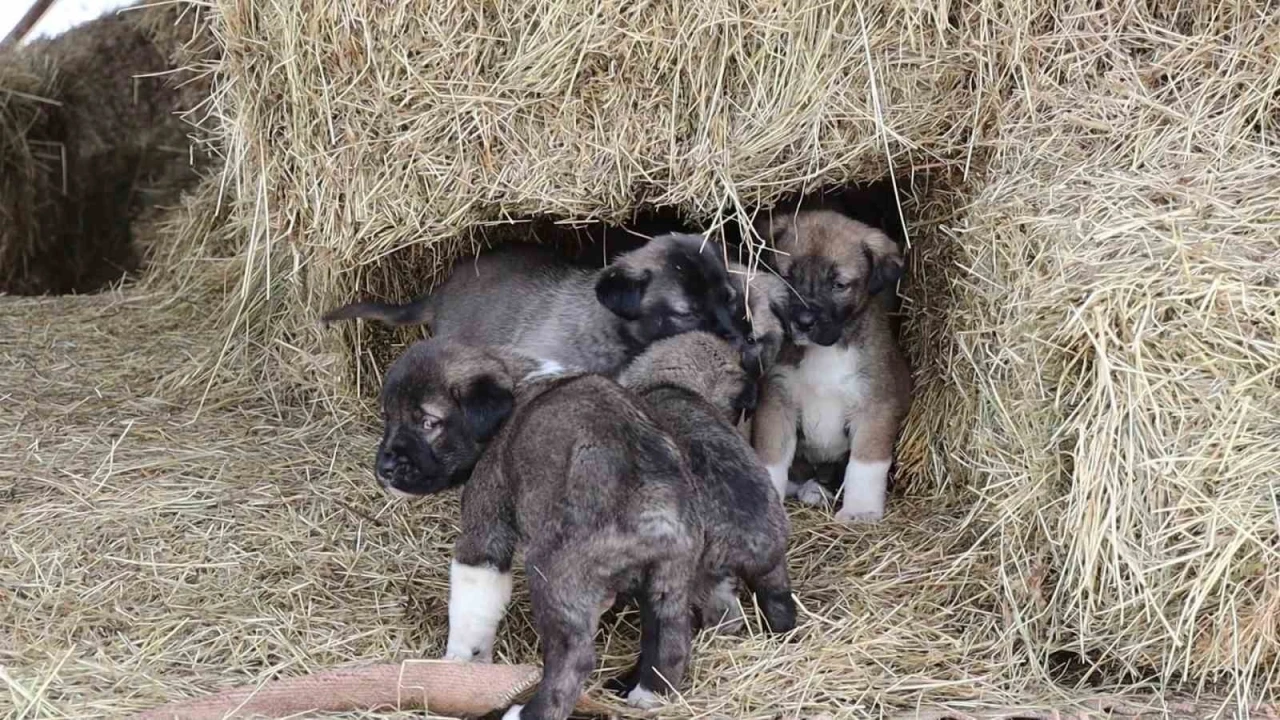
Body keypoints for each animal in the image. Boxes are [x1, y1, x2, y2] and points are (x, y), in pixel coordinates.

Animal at [368, 335, 788, 717]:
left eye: (428, 422)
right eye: (388, 418)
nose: (385, 468)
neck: (516, 385)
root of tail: (656, 513)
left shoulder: (485, 522)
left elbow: (472, 607)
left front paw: (460, 665)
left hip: (554, 573)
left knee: (574, 658)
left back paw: (528, 712)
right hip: (670, 579)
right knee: (670, 641)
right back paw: (648, 694)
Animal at [747, 208, 911, 520]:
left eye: (839, 285)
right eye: (787, 277)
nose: (803, 322)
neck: (824, 352)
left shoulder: (876, 406)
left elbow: (865, 465)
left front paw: (860, 511)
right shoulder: (777, 401)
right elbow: (771, 456)